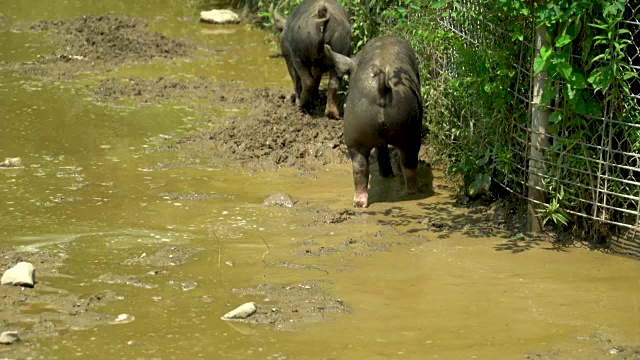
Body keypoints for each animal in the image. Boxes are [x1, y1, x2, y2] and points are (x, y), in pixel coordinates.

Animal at [324, 36, 424, 207]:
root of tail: (382, 89)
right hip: (409, 127)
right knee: (408, 163)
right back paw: (410, 192)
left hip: (357, 129)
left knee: (360, 167)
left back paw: (359, 204)